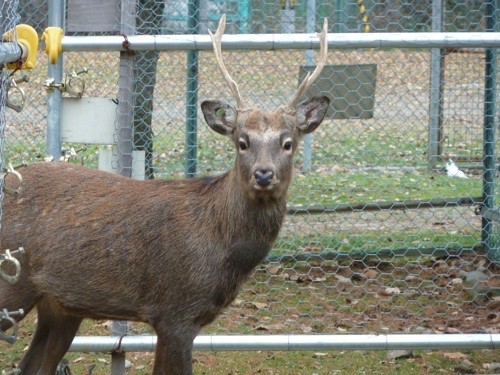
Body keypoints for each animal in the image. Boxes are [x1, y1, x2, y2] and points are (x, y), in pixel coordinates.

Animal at [0, 14, 332, 375]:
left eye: (288, 143)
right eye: (242, 142)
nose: (263, 174)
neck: (220, 244)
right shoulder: (175, 312)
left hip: (60, 306)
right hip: (12, 281)